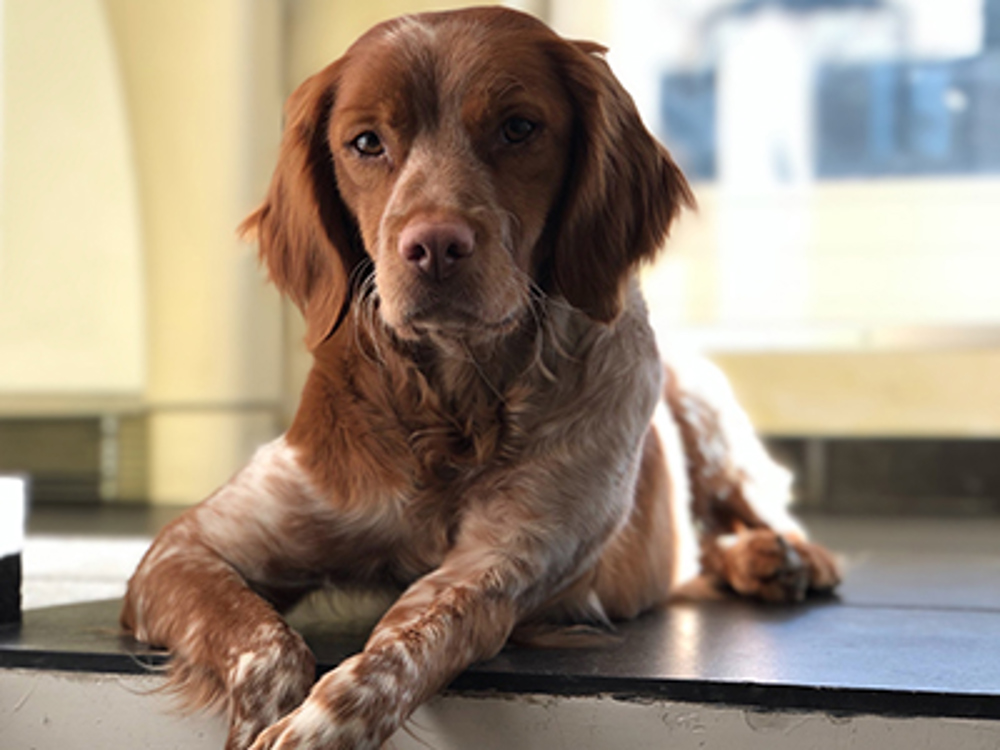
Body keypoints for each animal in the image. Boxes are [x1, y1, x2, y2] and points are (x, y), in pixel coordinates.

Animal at [121, 7, 840, 750]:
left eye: (519, 128)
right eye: (366, 142)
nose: (435, 246)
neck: (453, 408)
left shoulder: (505, 561)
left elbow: (396, 652)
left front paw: (309, 728)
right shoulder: (186, 548)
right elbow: (267, 643)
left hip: (705, 405)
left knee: (755, 511)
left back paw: (781, 556)